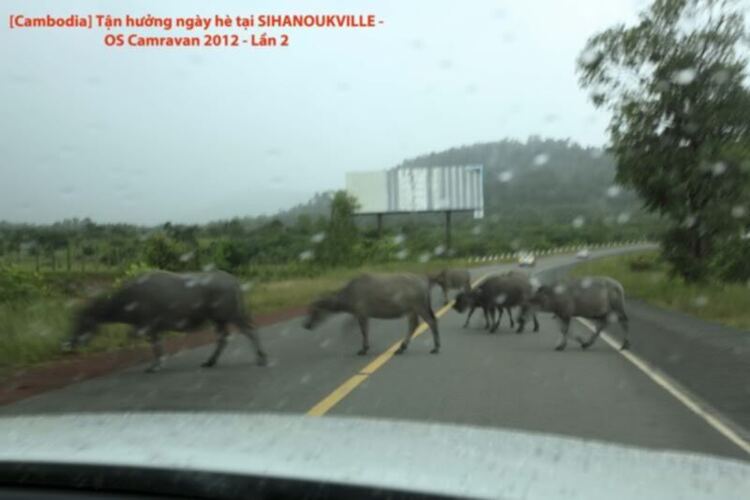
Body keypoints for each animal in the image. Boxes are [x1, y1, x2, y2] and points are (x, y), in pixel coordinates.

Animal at [64, 270, 268, 372]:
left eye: (83, 320)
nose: (70, 343)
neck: (130, 299)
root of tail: (234, 281)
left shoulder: (147, 325)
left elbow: (146, 343)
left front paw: (153, 365)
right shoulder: (151, 328)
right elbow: (151, 343)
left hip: (231, 315)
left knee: (250, 330)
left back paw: (261, 358)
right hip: (219, 319)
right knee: (224, 338)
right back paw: (210, 362)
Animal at [304, 274, 440, 356]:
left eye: (315, 311)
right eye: (308, 310)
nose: (306, 325)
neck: (347, 300)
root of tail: (425, 284)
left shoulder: (361, 312)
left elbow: (362, 331)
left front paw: (363, 348)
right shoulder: (361, 314)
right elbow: (355, 328)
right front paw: (364, 346)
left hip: (418, 306)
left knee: (430, 321)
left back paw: (435, 347)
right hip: (413, 309)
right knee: (416, 324)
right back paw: (403, 347)